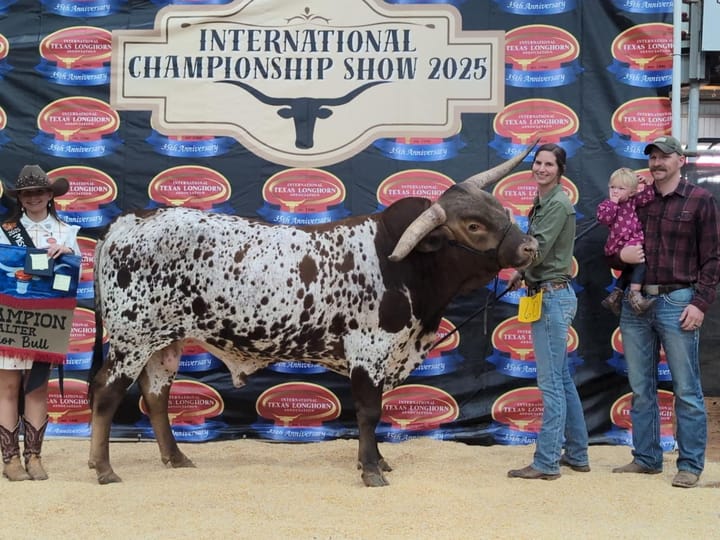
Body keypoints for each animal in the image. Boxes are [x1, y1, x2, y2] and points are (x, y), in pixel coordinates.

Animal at [88, 143, 539, 486]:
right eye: (474, 226)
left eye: (498, 207)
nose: (531, 246)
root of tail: (128, 222)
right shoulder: (369, 354)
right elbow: (370, 412)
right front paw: (372, 471)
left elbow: (375, 412)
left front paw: (377, 461)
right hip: (131, 339)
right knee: (106, 392)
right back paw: (103, 468)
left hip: (166, 341)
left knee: (156, 394)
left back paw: (176, 458)